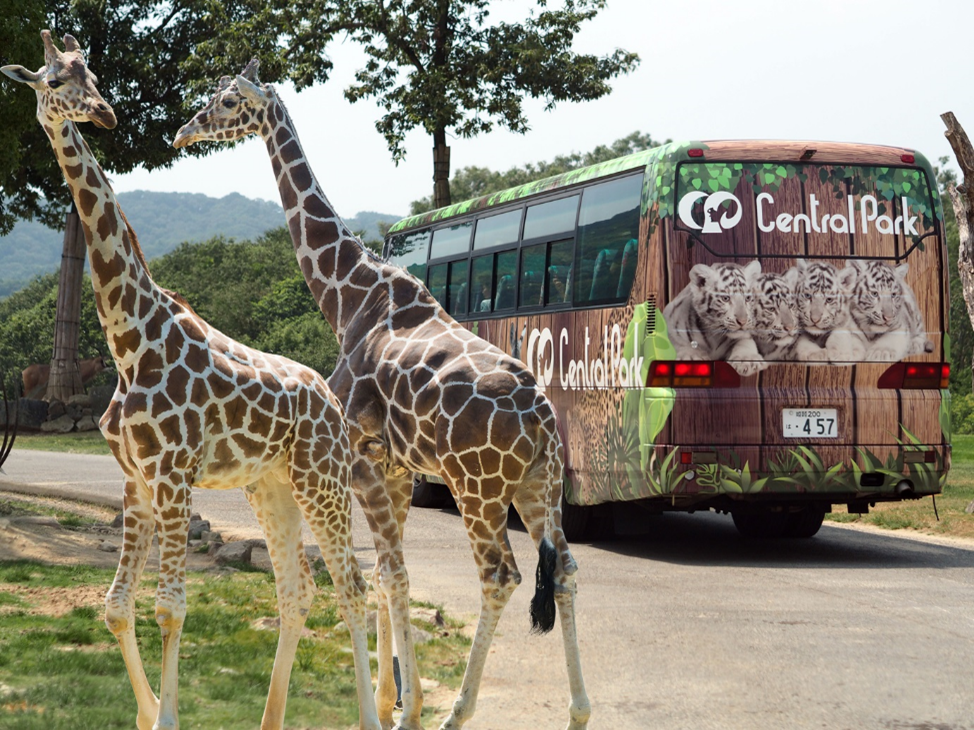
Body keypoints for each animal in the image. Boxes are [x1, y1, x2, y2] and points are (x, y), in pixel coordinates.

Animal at [2, 29, 382, 728]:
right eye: (55, 81)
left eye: (90, 73)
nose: (106, 114)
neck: (130, 339)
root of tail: (330, 400)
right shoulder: (136, 479)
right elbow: (116, 606)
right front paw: (149, 710)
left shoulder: (174, 475)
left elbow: (170, 608)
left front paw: (167, 716)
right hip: (270, 486)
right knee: (297, 589)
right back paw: (270, 718)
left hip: (322, 480)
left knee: (352, 587)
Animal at [173, 61, 592, 728]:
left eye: (229, 100)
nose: (185, 130)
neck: (349, 296)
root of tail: (544, 421)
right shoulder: (394, 470)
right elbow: (394, 575)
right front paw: (401, 703)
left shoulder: (361, 460)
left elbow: (387, 574)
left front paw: (404, 708)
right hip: (540, 486)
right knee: (568, 568)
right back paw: (578, 710)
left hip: (478, 490)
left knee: (500, 576)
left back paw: (457, 713)